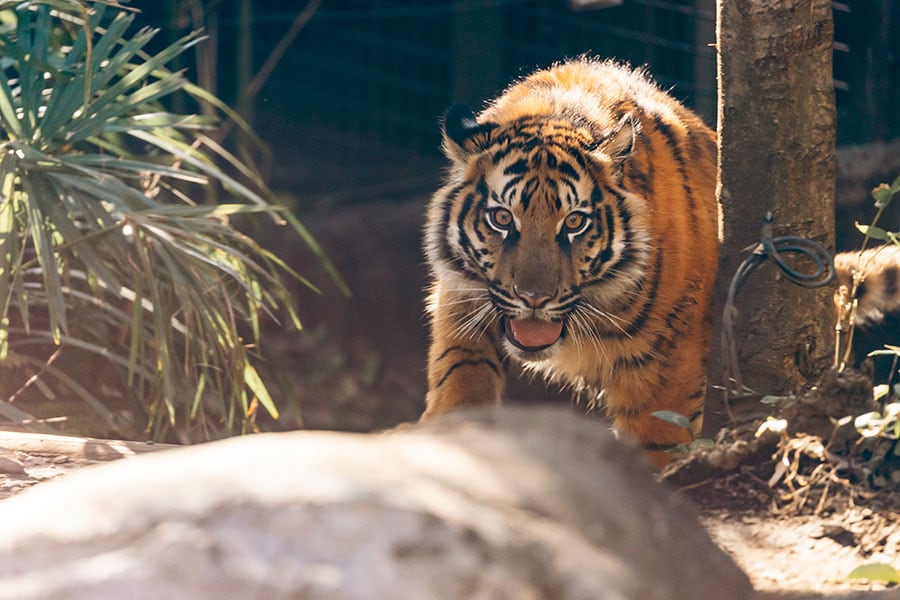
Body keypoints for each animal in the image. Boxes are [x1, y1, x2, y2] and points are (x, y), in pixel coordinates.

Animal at [418, 57, 720, 468]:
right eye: (502, 218)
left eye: (575, 222)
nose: (534, 298)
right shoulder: (462, 298)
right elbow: (461, 374)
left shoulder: (669, 364)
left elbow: (657, 445)